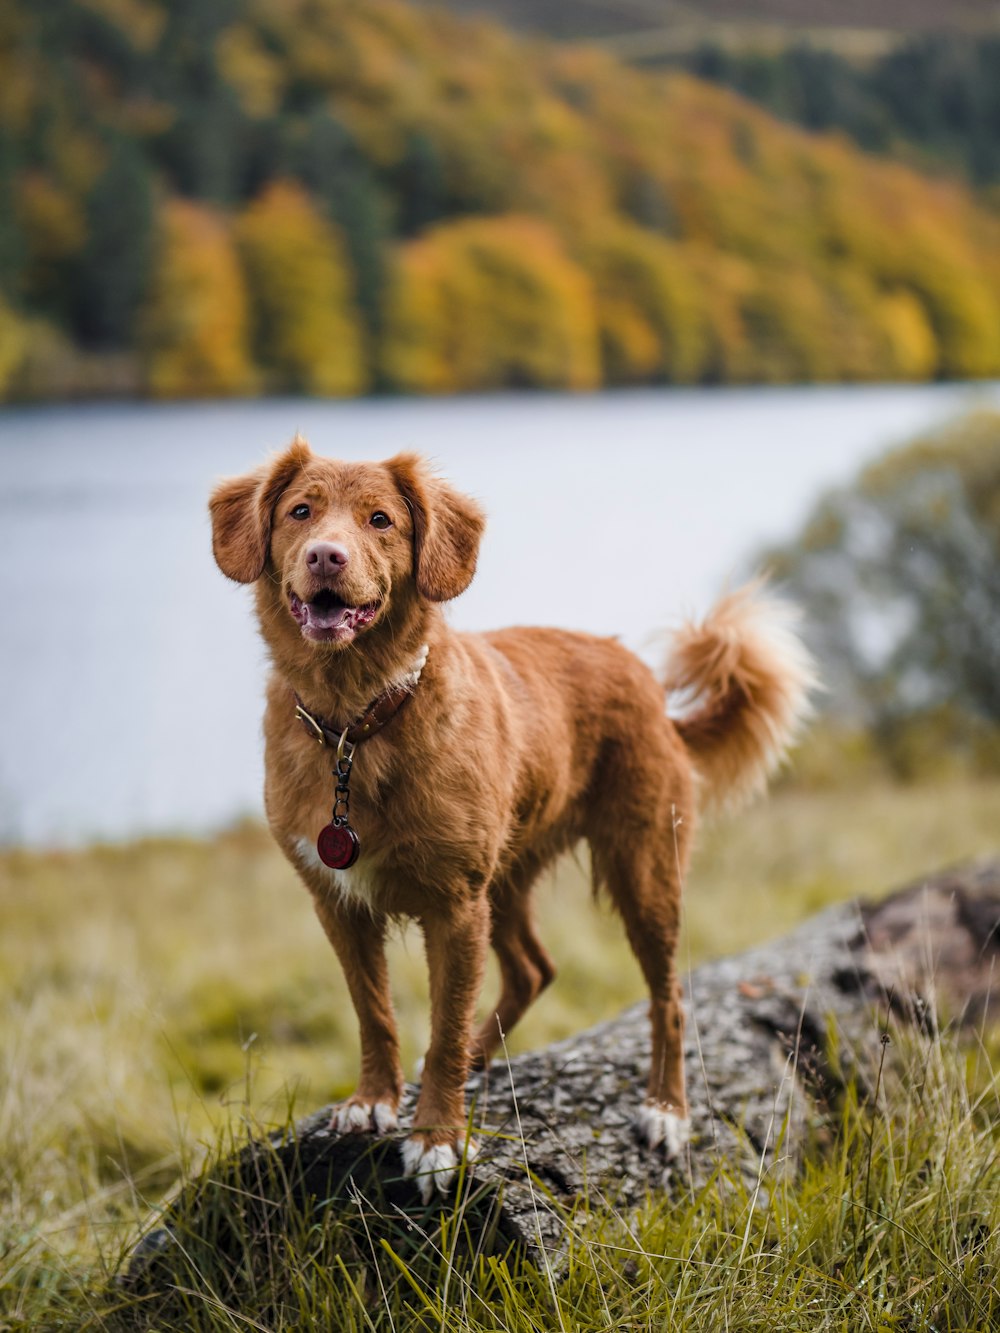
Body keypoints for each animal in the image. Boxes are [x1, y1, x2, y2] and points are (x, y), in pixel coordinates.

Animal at [209, 442, 816, 1205]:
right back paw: (481, 1057)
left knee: (668, 997)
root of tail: (647, 681)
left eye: (380, 520)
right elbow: (375, 1010)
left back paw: (665, 1111)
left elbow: (442, 1023)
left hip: (642, 870)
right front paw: (375, 1099)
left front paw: (437, 1138)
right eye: (300, 511)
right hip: (506, 880)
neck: (357, 722)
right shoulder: (339, 903)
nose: (325, 556)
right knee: (534, 968)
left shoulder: (454, 906)